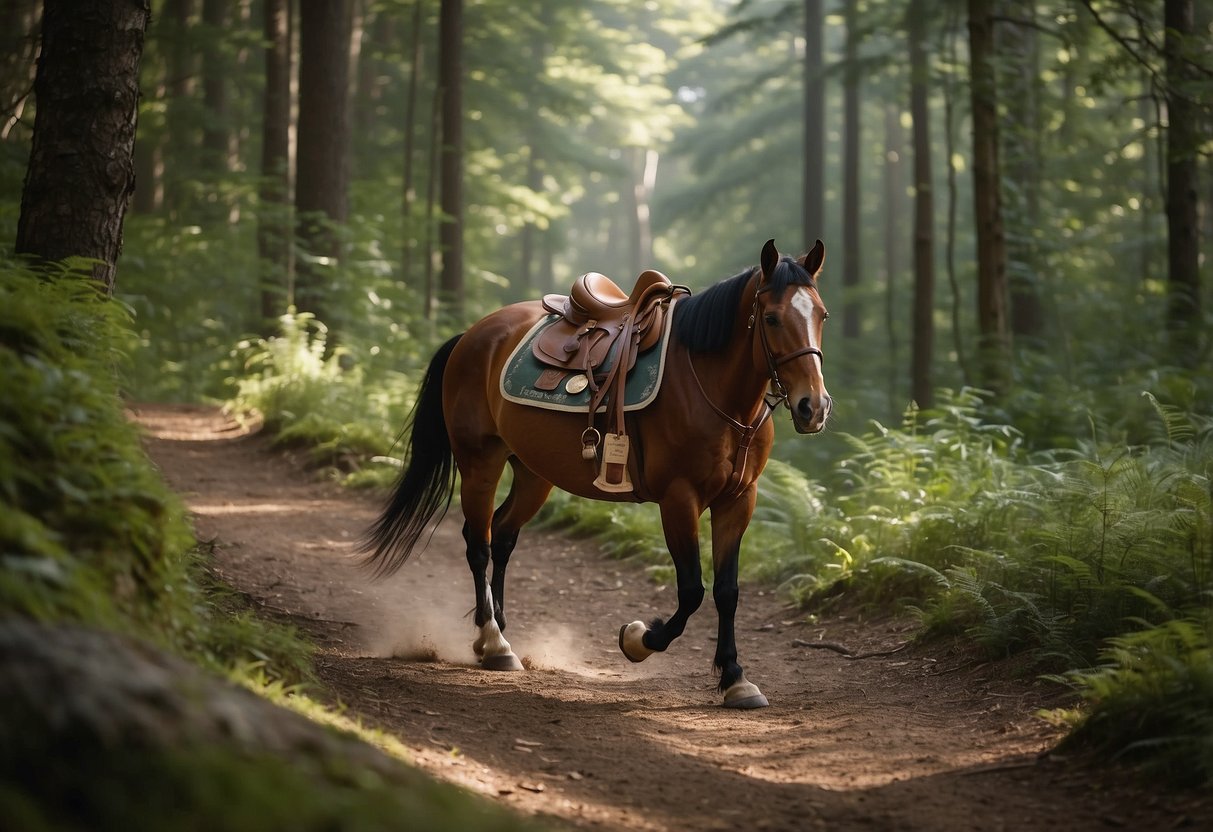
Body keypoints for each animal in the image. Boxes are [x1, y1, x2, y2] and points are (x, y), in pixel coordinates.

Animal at [363, 240, 829, 708]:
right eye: (771, 318)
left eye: (822, 316)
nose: (814, 406)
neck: (713, 388)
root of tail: (474, 334)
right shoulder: (679, 499)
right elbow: (692, 591)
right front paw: (638, 639)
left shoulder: (738, 500)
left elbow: (727, 592)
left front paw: (735, 678)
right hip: (481, 463)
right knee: (479, 544)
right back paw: (493, 642)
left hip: (534, 473)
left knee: (504, 536)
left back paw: (495, 628)